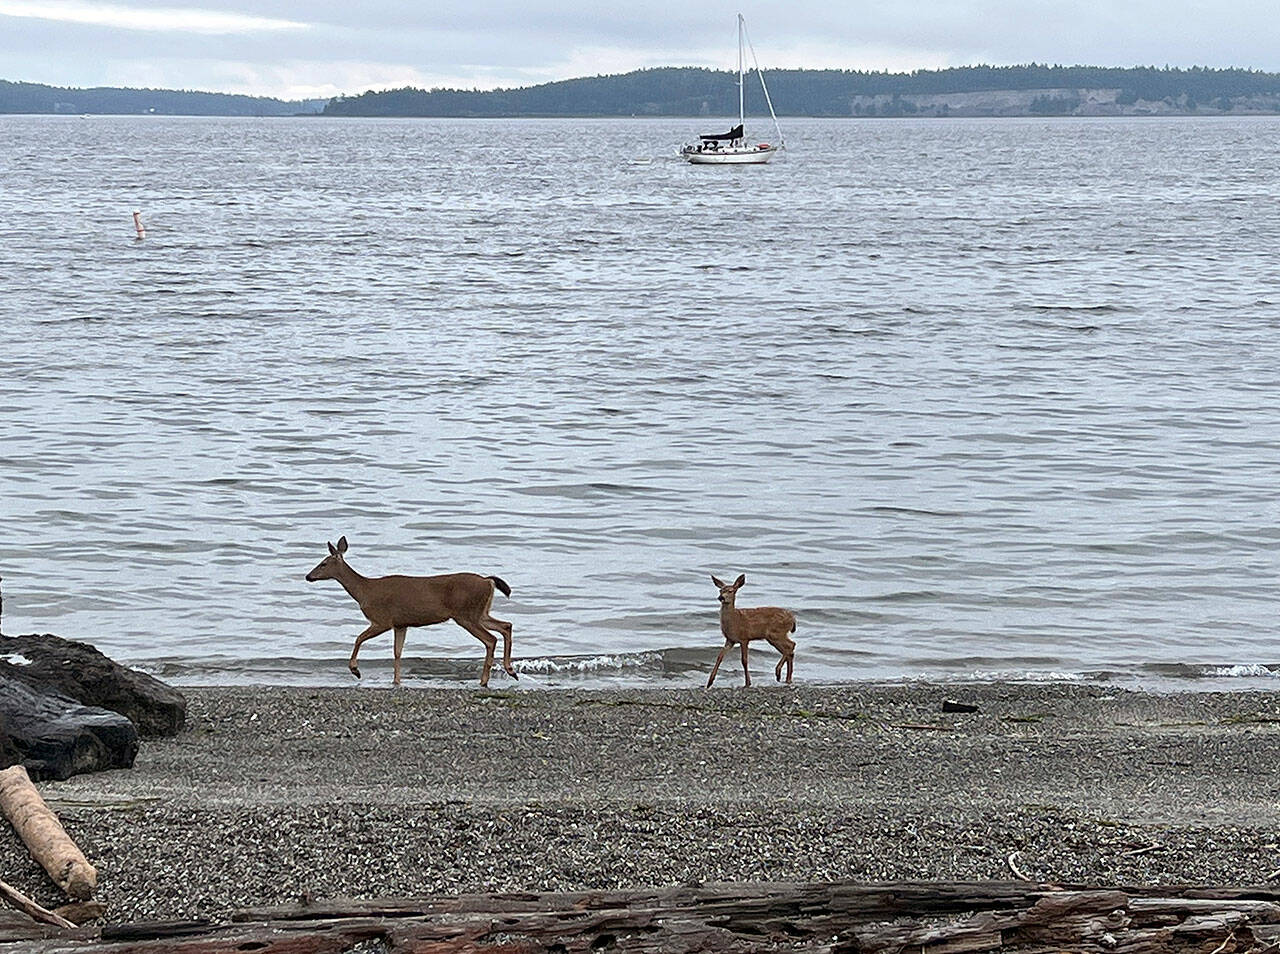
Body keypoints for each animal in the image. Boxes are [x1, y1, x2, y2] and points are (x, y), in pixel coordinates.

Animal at [305, 536, 516, 687]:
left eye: (323, 563)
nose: (308, 576)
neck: (365, 591)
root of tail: (488, 581)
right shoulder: (401, 624)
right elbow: (397, 652)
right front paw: (396, 681)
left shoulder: (382, 620)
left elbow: (359, 638)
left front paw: (355, 670)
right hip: (480, 613)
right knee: (506, 625)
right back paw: (510, 670)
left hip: (466, 614)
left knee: (490, 639)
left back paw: (485, 680)